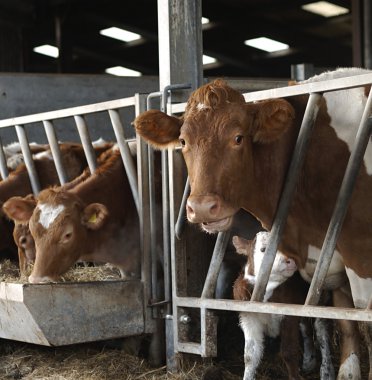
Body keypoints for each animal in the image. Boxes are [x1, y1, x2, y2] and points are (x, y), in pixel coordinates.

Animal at [232, 232, 334, 380]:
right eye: (263, 249)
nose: (291, 260)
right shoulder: (248, 318)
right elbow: (250, 356)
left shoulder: (288, 315)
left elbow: (288, 352)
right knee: (306, 328)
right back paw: (308, 362)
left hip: (320, 297)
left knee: (322, 332)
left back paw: (327, 372)